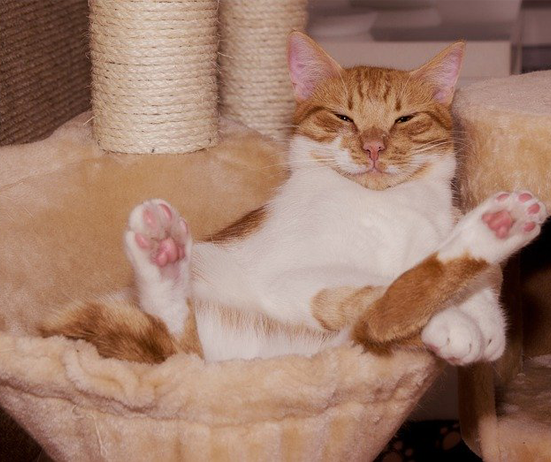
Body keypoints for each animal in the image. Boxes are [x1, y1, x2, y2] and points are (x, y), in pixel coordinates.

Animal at [43, 31, 548, 364]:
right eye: (343, 117)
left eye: (405, 119)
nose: (373, 147)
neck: (386, 205)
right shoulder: (291, 278)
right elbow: (384, 283)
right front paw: (456, 321)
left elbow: (479, 284)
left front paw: (485, 321)